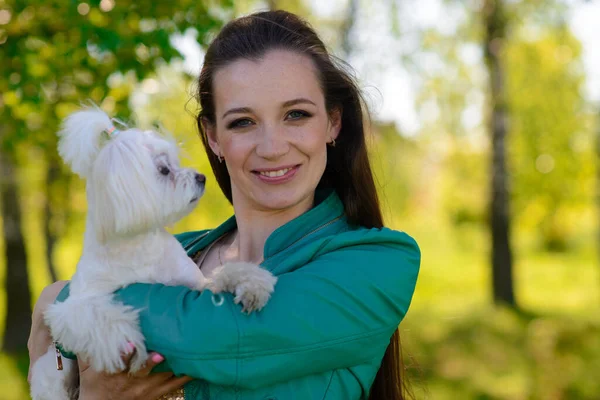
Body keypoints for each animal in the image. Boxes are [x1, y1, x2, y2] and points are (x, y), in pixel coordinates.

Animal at [29, 108, 278, 400]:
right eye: (163, 170)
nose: (201, 177)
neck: (140, 245)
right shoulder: (75, 305)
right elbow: (97, 313)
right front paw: (122, 336)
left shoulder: (194, 284)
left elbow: (220, 277)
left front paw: (251, 284)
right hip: (52, 373)